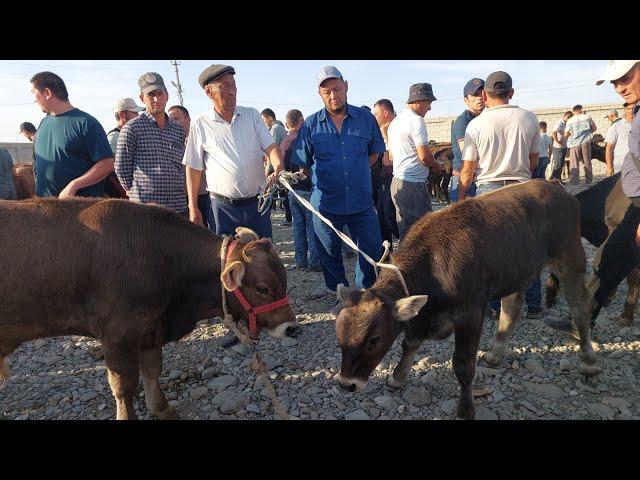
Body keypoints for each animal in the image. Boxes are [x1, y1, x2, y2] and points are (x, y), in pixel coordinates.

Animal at [0, 197, 296, 418]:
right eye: (263, 288)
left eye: (284, 278)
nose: (291, 327)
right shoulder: (117, 335)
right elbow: (124, 386)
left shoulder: (150, 330)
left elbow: (153, 372)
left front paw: (162, 408)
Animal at [336, 180, 600, 420]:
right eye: (339, 339)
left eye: (374, 340)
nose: (346, 384)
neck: (433, 262)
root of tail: (555, 186)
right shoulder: (422, 318)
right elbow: (409, 344)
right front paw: (398, 376)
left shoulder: (470, 314)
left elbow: (463, 365)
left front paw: (465, 409)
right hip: (515, 272)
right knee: (511, 309)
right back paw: (495, 353)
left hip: (571, 259)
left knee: (580, 308)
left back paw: (588, 361)